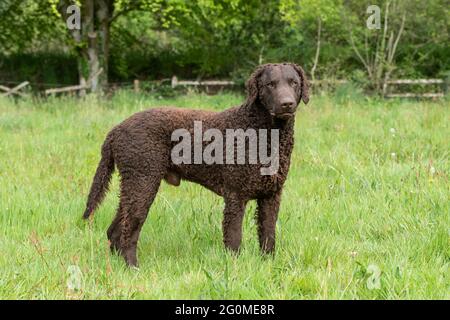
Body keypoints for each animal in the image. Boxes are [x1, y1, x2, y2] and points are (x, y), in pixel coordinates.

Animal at [83, 62, 310, 264]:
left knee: (115, 230)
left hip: (132, 185)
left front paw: (268, 266)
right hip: (142, 182)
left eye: (294, 83)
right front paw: (234, 269)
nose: (287, 103)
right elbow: (234, 239)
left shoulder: (271, 196)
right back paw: (132, 267)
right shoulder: (235, 196)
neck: (265, 135)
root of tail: (116, 130)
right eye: (270, 84)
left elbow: (268, 237)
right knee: (129, 229)